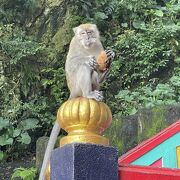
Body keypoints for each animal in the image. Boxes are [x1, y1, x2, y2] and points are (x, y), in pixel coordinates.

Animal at [39, 23, 115, 180]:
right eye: (82, 33)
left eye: (90, 32)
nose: (87, 37)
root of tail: (73, 92)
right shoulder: (74, 43)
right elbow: (72, 63)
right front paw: (88, 59)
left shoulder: (98, 44)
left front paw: (110, 57)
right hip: (77, 87)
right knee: (84, 68)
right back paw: (89, 93)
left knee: (96, 75)